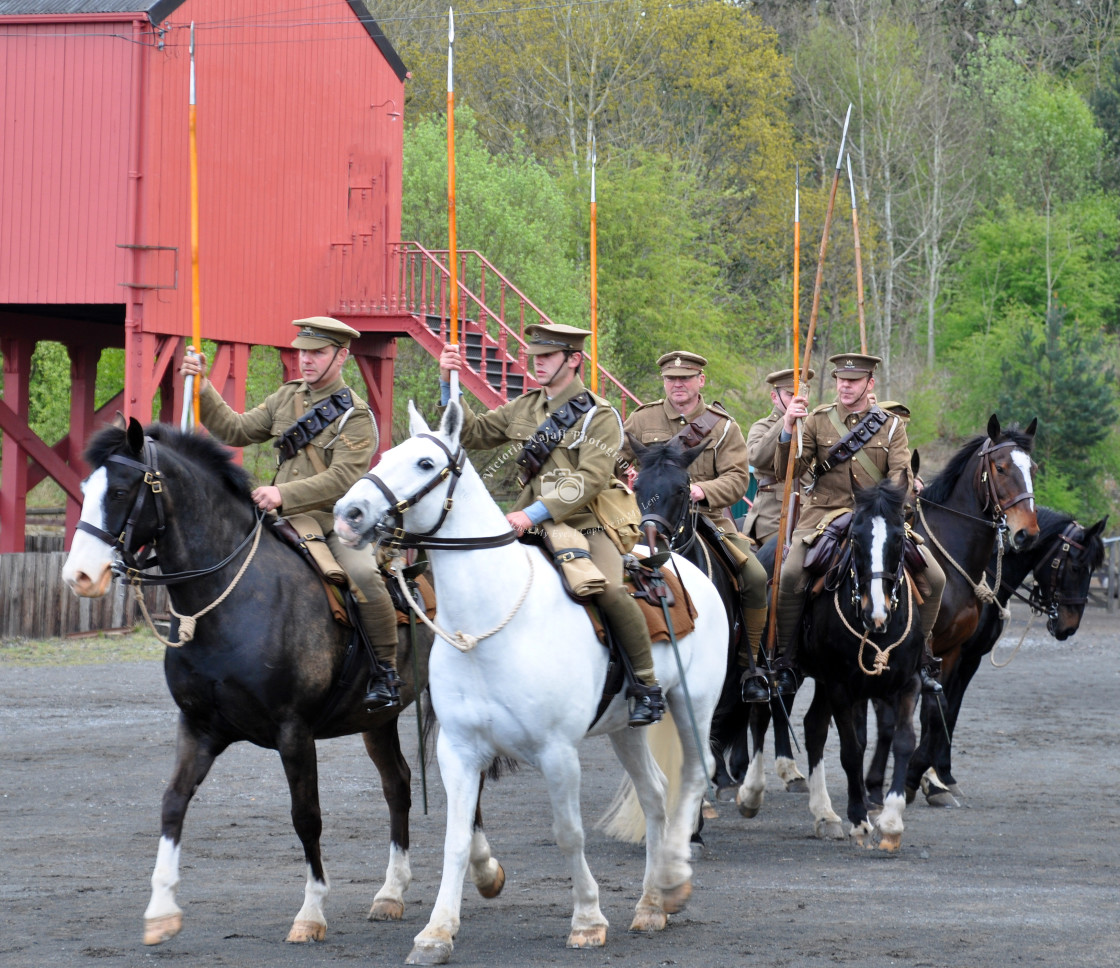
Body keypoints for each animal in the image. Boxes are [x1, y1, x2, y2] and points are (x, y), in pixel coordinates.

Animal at [60, 416, 436, 945]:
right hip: (376, 720)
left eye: (118, 490)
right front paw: (161, 910)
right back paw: (391, 893)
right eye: (85, 489)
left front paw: (311, 912)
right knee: (398, 784)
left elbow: (307, 817)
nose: (79, 576)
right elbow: (172, 803)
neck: (227, 595)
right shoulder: (199, 727)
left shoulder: (294, 733)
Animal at [329, 396, 725, 963]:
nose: (349, 514)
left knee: (695, 775)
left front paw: (587, 919)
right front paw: (437, 931)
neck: (488, 623)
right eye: (382, 456)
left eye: (425, 464)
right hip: (627, 726)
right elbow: (455, 837)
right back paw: (651, 904)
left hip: (696, 703)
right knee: (655, 793)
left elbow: (569, 833)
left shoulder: (557, 752)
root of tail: (674, 566)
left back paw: (673, 879)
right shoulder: (459, 750)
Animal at [864, 501, 1102, 806]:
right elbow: (933, 713)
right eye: (1076, 567)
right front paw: (925, 777)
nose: (1069, 626)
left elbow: (949, 714)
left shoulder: (967, 660)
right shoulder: (946, 658)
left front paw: (941, 777)